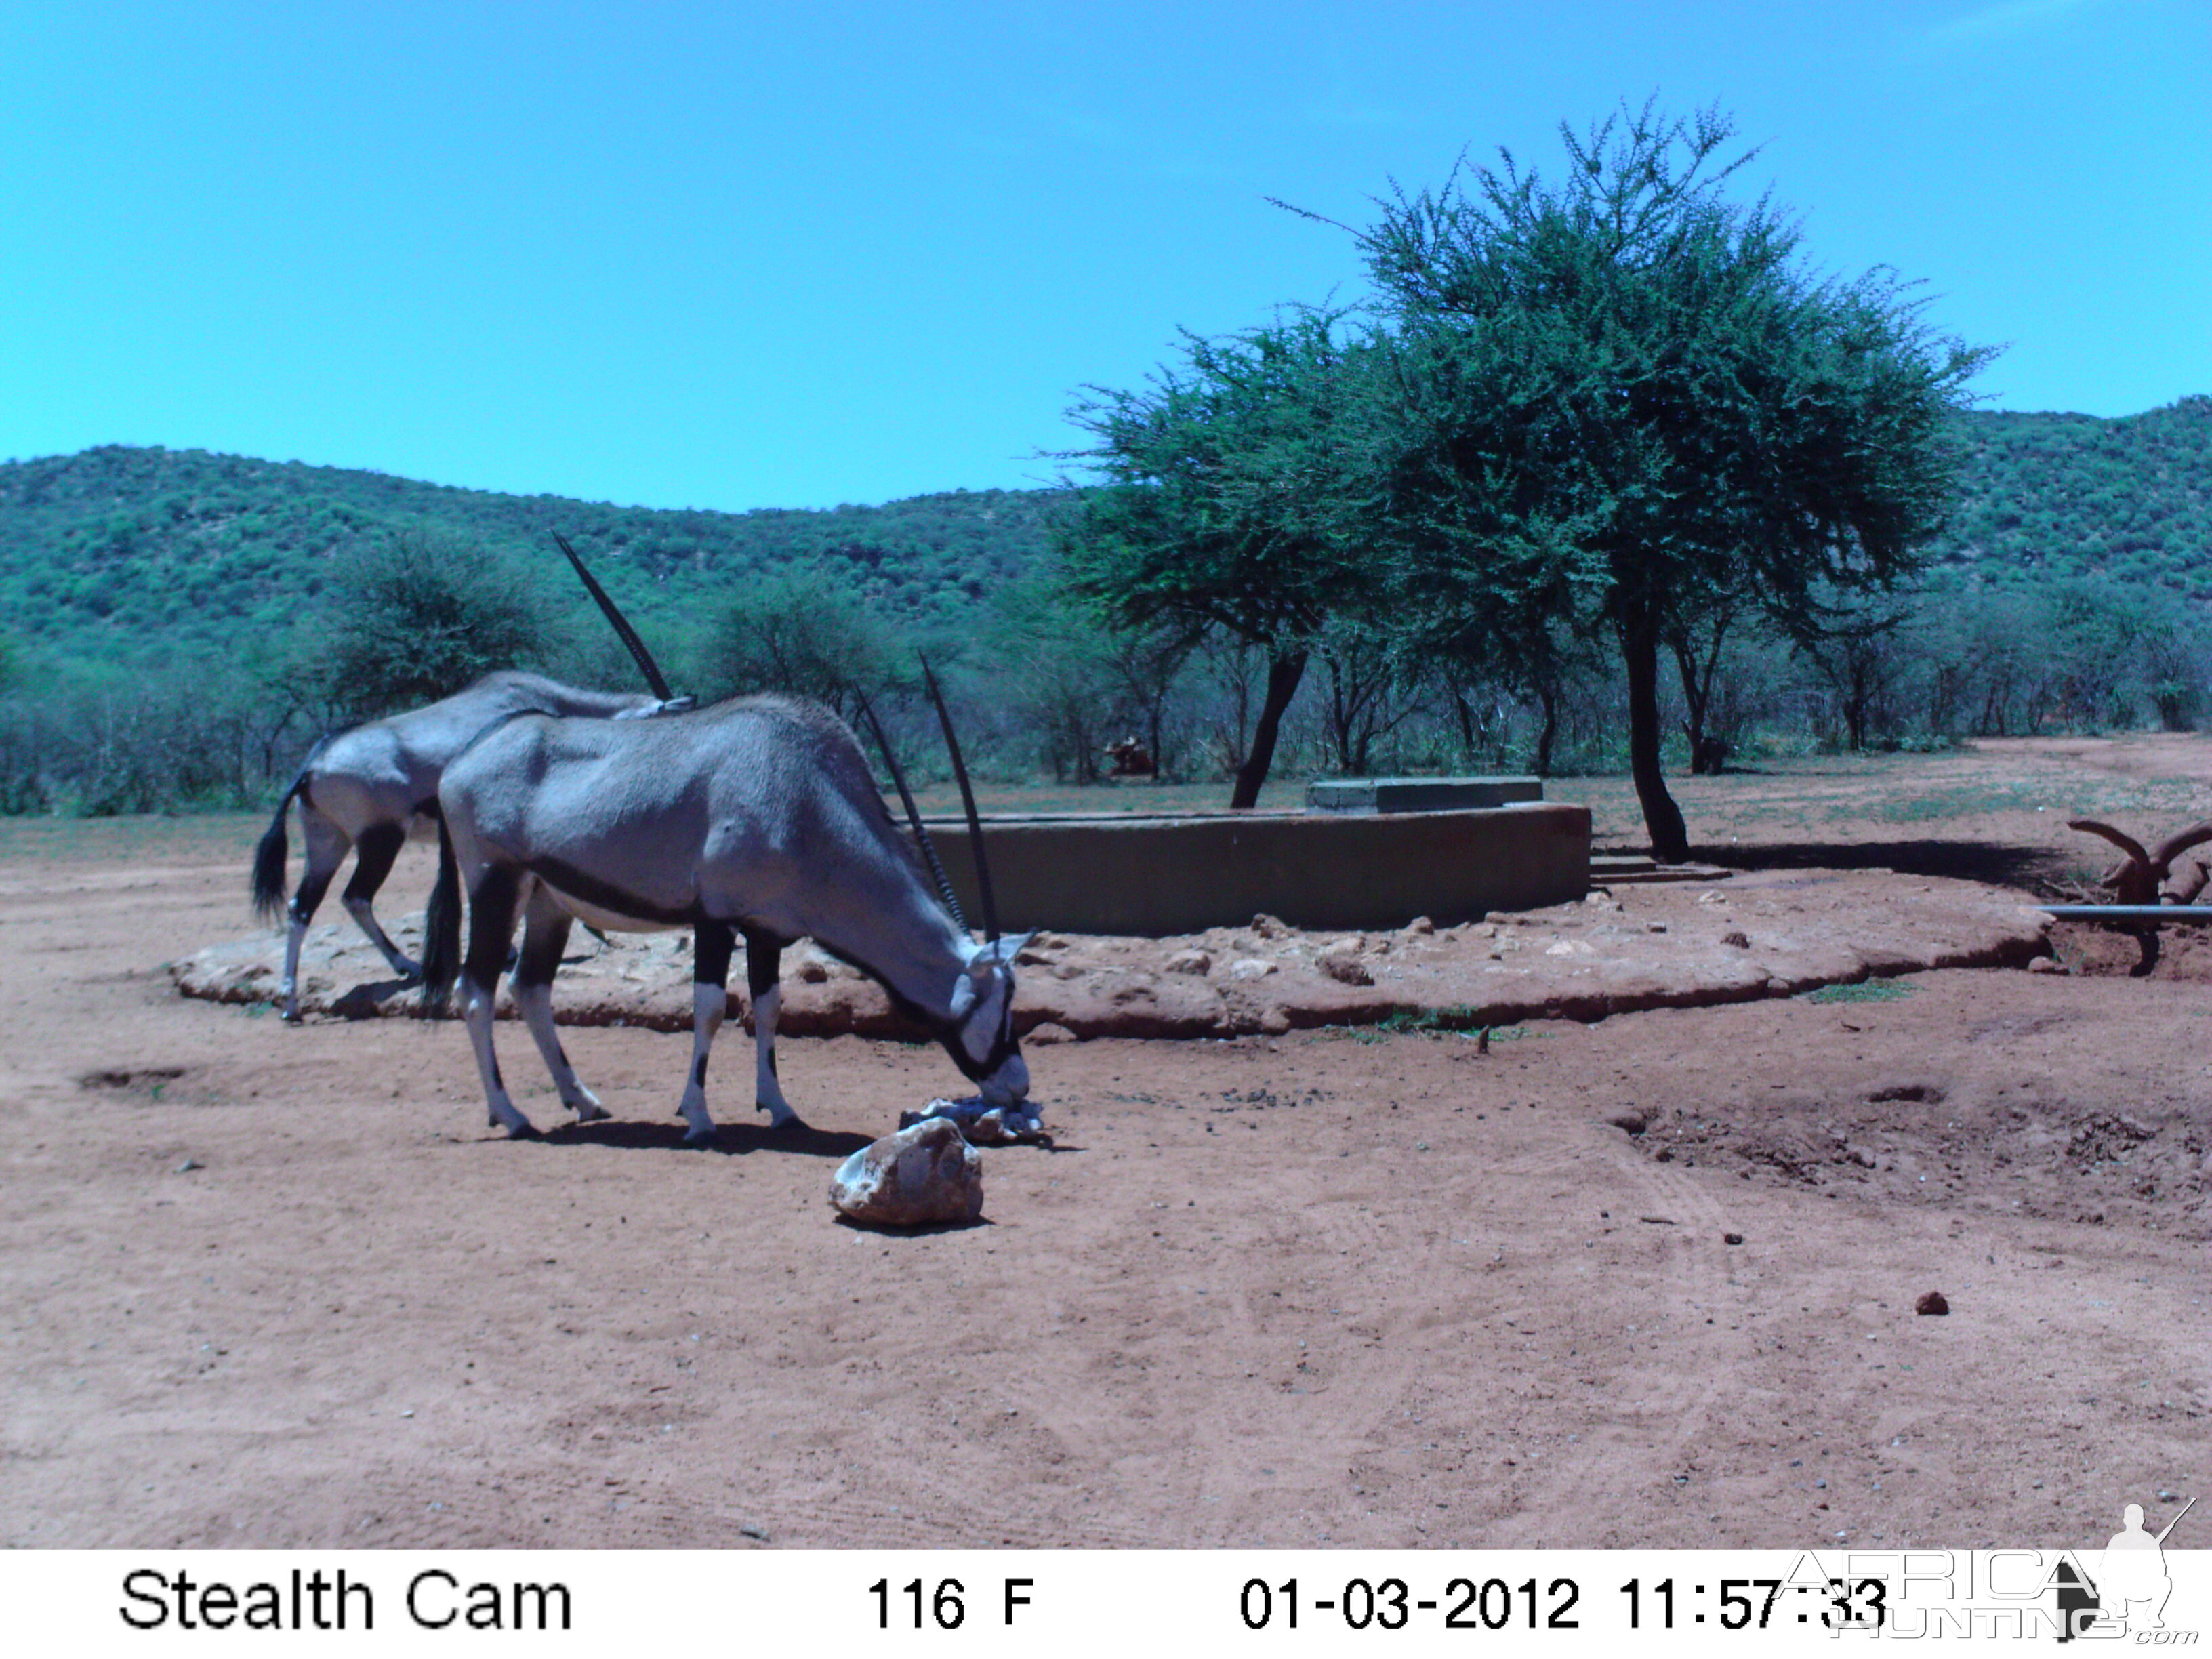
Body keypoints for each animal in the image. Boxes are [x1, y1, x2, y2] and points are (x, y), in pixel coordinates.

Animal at [251, 668, 685, 1021]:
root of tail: (312, 768)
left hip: (328, 842)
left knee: (302, 906)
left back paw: (291, 1001)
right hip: (381, 839)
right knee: (355, 896)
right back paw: (406, 965)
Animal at [420, 690, 1026, 1141]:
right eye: (992, 1003)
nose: (1018, 1086)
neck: (807, 795)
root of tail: (461, 761)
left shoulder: (767, 932)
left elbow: (770, 1008)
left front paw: (779, 1107)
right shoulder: (714, 920)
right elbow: (711, 1009)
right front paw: (699, 1116)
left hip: (549, 901)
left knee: (530, 987)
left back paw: (584, 1102)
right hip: (496, 886)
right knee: (475, 992)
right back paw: (513, 1115)